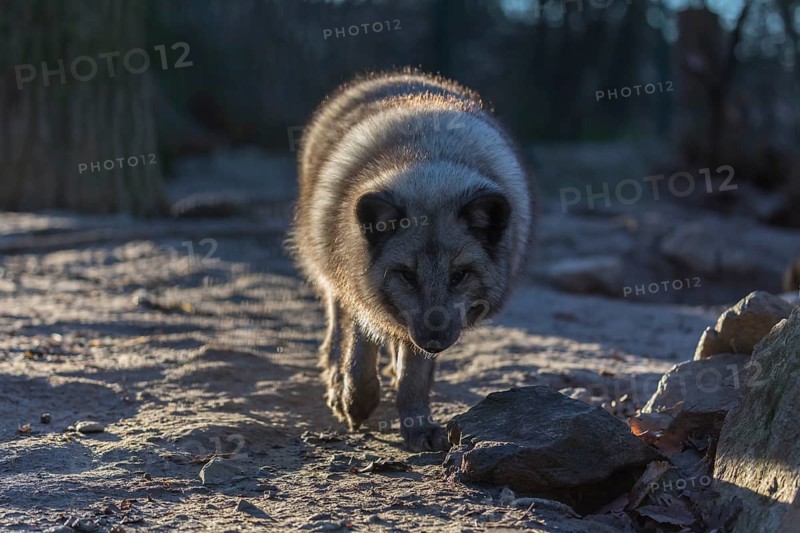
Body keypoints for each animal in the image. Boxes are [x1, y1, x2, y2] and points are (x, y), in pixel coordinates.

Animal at [290, 70, 535, 451]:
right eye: (406, 274)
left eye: (460, 275)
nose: (433, 340)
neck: (429, 161)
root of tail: (399, 73)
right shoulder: (359, 287)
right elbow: (359, 353)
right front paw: (356, 401)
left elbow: (414, 377)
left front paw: (418, 425)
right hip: (327, 265)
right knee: (337, 325)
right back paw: (335, 374)